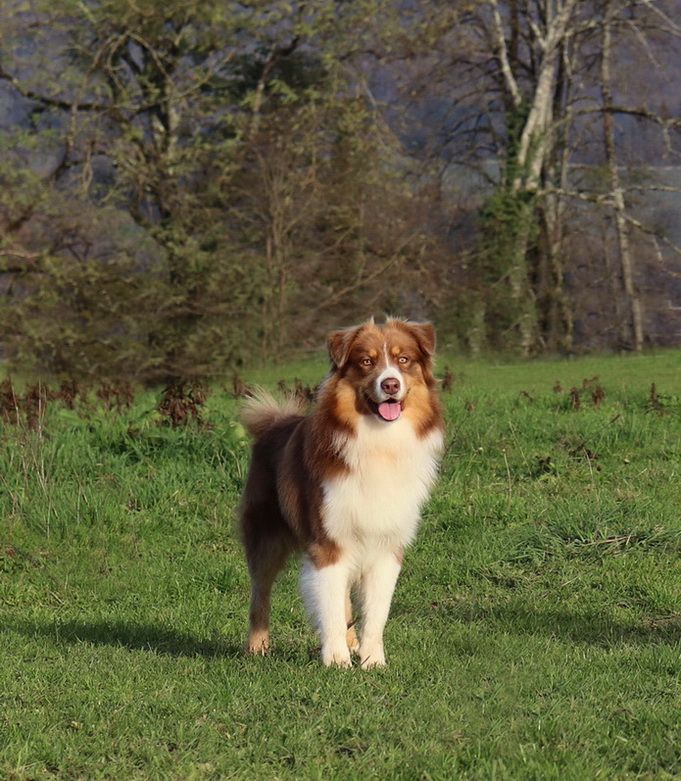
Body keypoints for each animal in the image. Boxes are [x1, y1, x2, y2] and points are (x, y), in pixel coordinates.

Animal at [240, 316, 446, 664]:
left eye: (404, 360)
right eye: (366, 362)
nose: (390, 385)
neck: (379, 443)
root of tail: (275, 422)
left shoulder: (387, 545)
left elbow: (375, 613)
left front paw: (372, 661)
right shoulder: (327, 542)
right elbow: (331, 609)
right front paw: (336, 661)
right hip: (265, 534)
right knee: (260, 593)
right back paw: (257, 648)